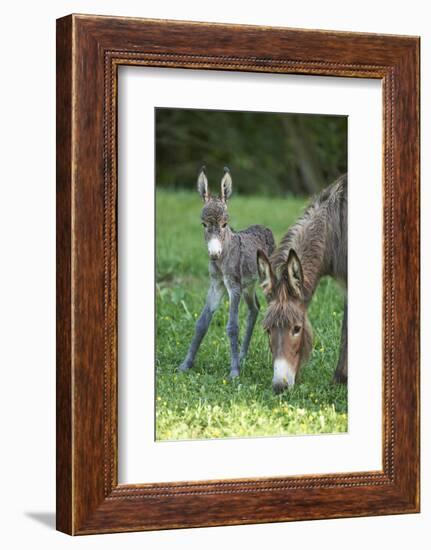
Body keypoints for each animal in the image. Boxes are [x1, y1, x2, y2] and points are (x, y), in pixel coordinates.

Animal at [180, 167, 276, 380]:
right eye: (203, 224)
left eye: (225, 224)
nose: (214, 253)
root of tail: (264, 227)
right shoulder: (217, 285)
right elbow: (201, 323)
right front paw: (185, 365)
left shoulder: (233, 287)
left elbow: (232, 327)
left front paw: (233, 372)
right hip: (249, 285)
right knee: (254, 309)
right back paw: (242, 356)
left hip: (265, 280)